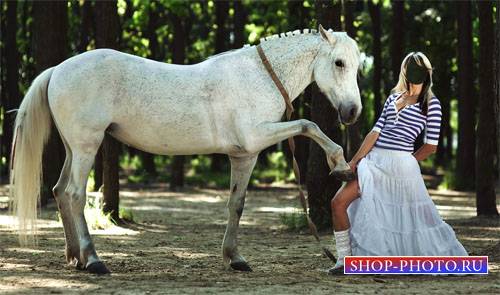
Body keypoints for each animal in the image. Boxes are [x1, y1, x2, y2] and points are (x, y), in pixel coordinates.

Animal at [8, 25, 360, 276]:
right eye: (338, 63)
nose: (352, 112)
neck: (259, 77)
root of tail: (58, 69)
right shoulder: (255, 137)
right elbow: (308, 125)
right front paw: (340, 164)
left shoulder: (244, 155)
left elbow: (236, 205)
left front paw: (235, 258)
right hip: (86, 147)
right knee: (74, 194)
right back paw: (94, 260)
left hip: (73, 148)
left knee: (59, 191)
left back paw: (76, 258)